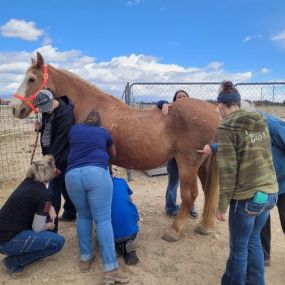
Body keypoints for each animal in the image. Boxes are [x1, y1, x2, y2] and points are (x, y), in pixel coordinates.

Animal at [12, 52, 219, 241]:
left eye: (31, 79)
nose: (15, 108)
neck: (91, 107)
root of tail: (213, 110)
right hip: (201, 164)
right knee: (206, 192)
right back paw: (204, 227)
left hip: (188, 162)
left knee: (190, 195)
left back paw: (174, 231)